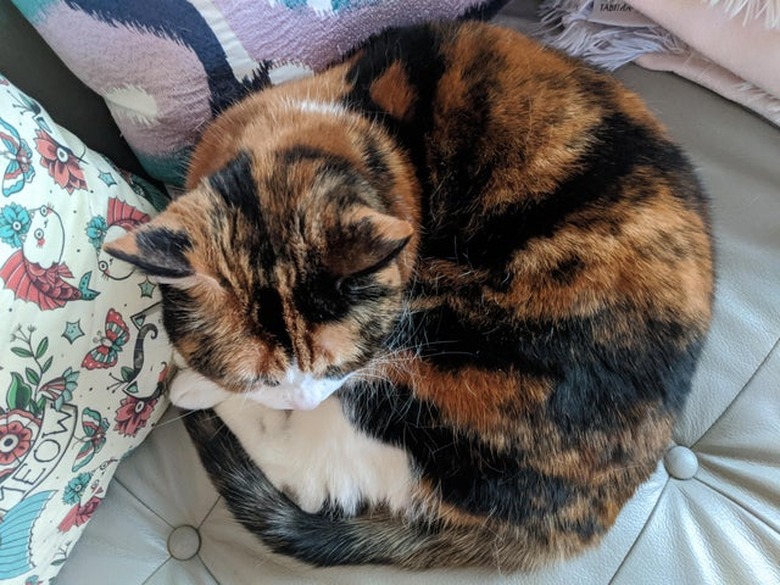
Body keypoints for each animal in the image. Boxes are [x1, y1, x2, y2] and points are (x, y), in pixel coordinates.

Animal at [106, 21, 716, 572]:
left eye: (340, 363)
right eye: (267, 376)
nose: (304, 400)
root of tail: (574, 527)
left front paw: (197, 381)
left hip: (438, 367)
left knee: (312, 476)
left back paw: (189, 391)